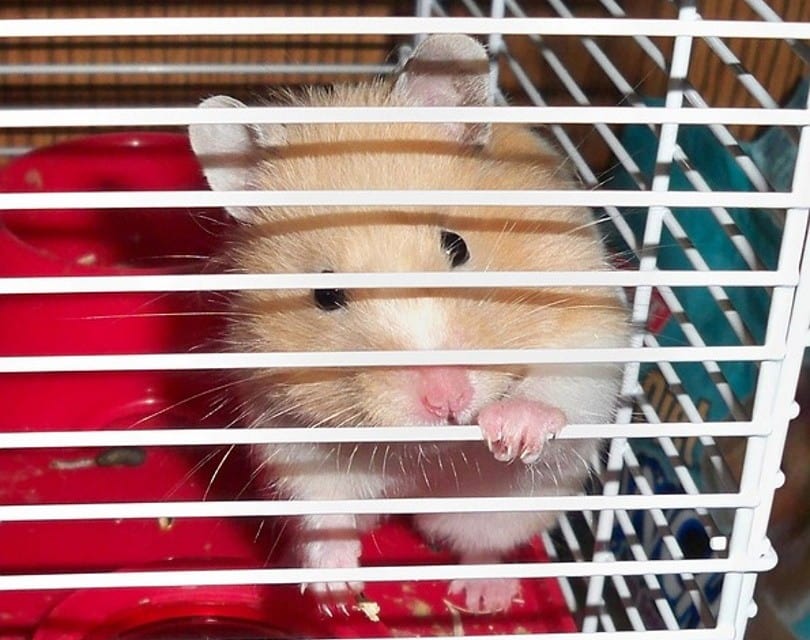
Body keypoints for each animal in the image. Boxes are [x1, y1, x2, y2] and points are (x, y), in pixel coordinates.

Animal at [189, 34, 630, 614]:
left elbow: (559, 384)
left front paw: (511, 431)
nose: (447, 400)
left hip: (499, 507)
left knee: (483, 543)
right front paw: (336, 593)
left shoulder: (588, 321)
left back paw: (484, 597)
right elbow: (322, 508)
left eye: (457, 246)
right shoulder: (285, 424)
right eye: (325, 295)